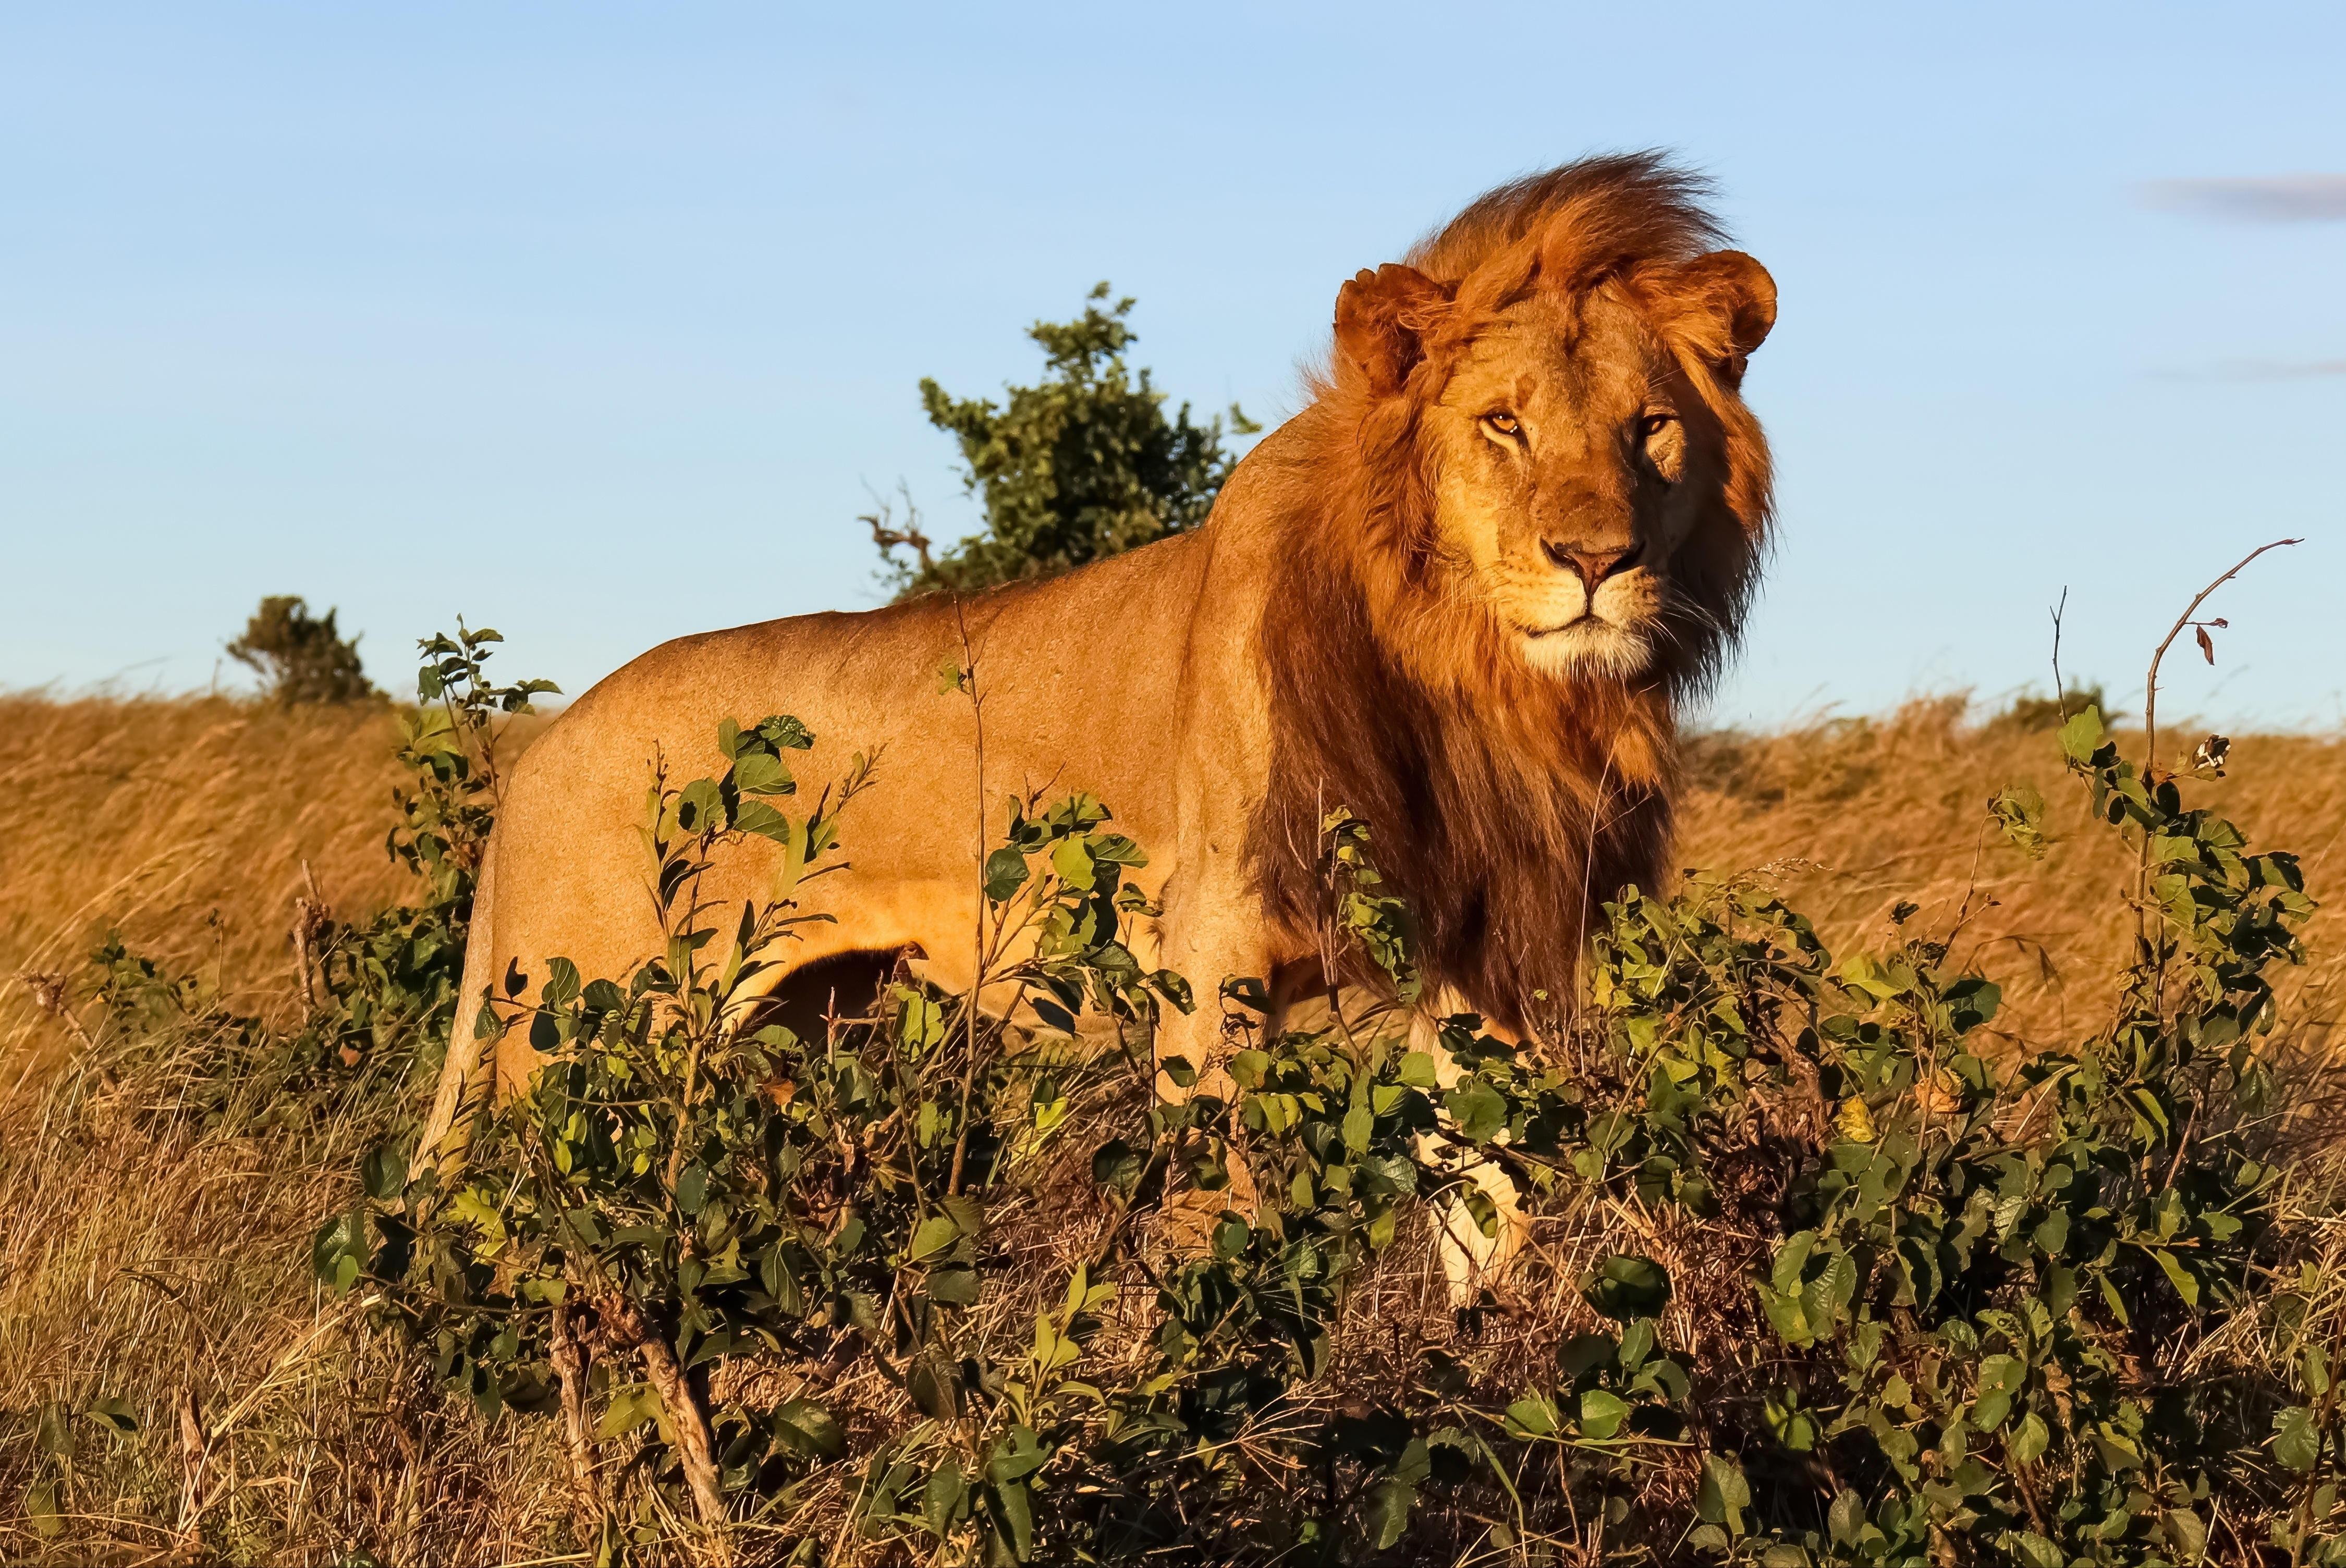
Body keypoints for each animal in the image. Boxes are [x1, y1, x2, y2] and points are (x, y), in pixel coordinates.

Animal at [420, 153, 1776, 1293]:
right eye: (1503, 422)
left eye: (1649, 428)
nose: (1595, 560)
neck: (1470, 681)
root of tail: (537, 755)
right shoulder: (1212, 944)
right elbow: (1220, 1212)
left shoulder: (1487, 954)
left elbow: (1491, 1208)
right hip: (584, 1045)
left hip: (793, 1023)